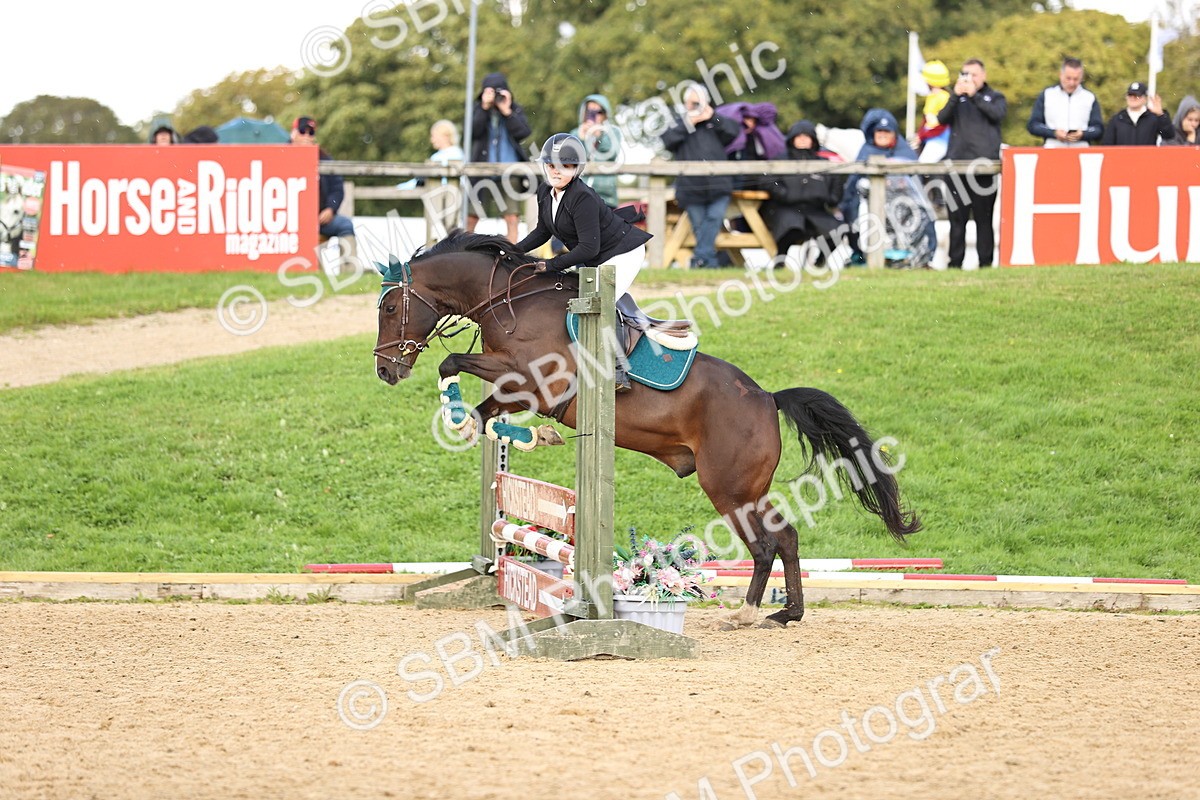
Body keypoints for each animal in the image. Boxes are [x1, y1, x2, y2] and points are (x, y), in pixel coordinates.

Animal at [374, 231, 921, 628]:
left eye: (390, 308)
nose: (385, 371)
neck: (510, 304)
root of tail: (768, 398)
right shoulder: (516, 386)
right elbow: (485, 410)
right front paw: (498, 431)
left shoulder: (536, 383)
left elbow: (450, 363)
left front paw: (463, 417)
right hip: (748, 487)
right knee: (785, 537)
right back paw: (787, 613)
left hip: (729, 486)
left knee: (766, 544)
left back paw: (746, 613)